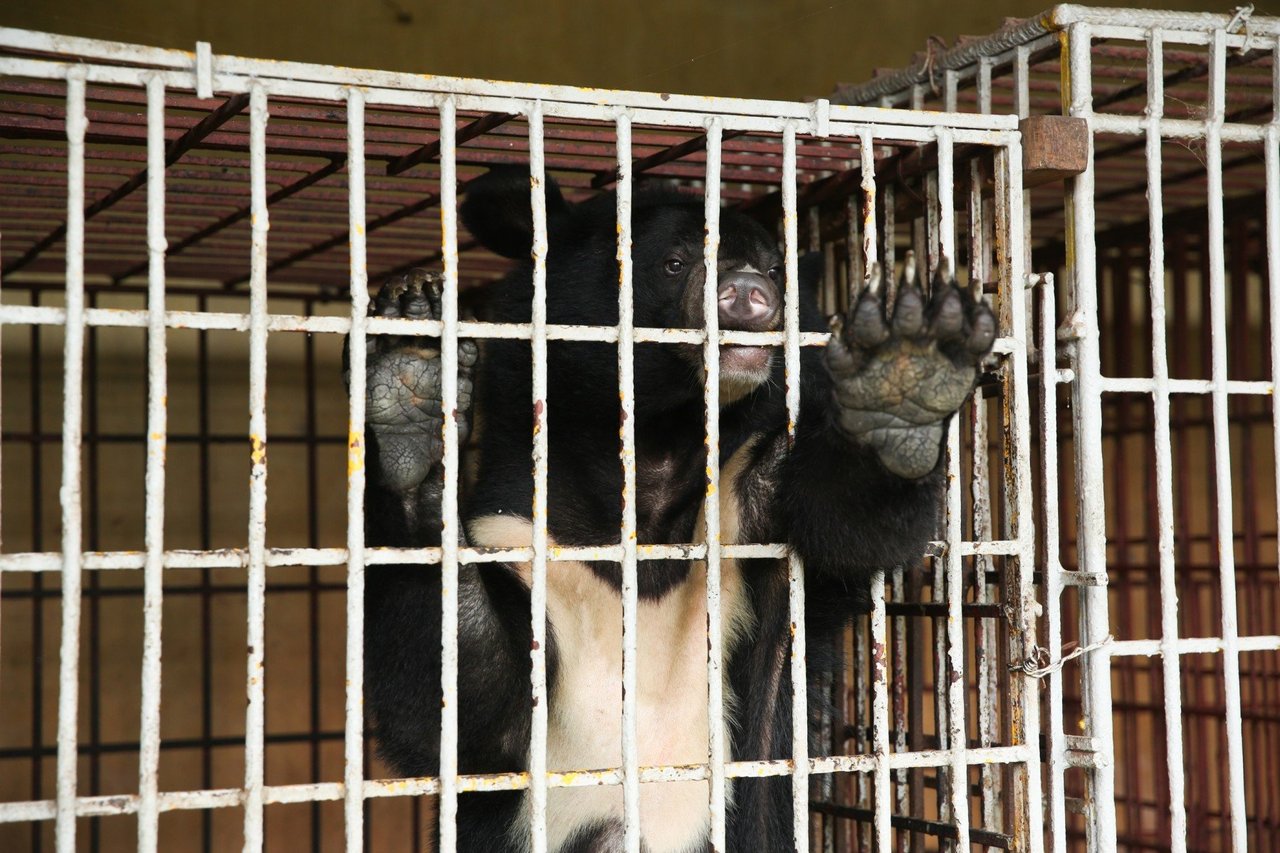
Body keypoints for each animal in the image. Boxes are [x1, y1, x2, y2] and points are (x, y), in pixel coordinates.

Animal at [355, 167, 993, 850]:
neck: (654, 453)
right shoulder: (519, 532)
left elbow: (848, 519)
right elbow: (457, 700)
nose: (750, 291)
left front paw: (906, 377)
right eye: (674, 262)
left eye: (775, 267)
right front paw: (409, 377)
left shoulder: (746, 511)